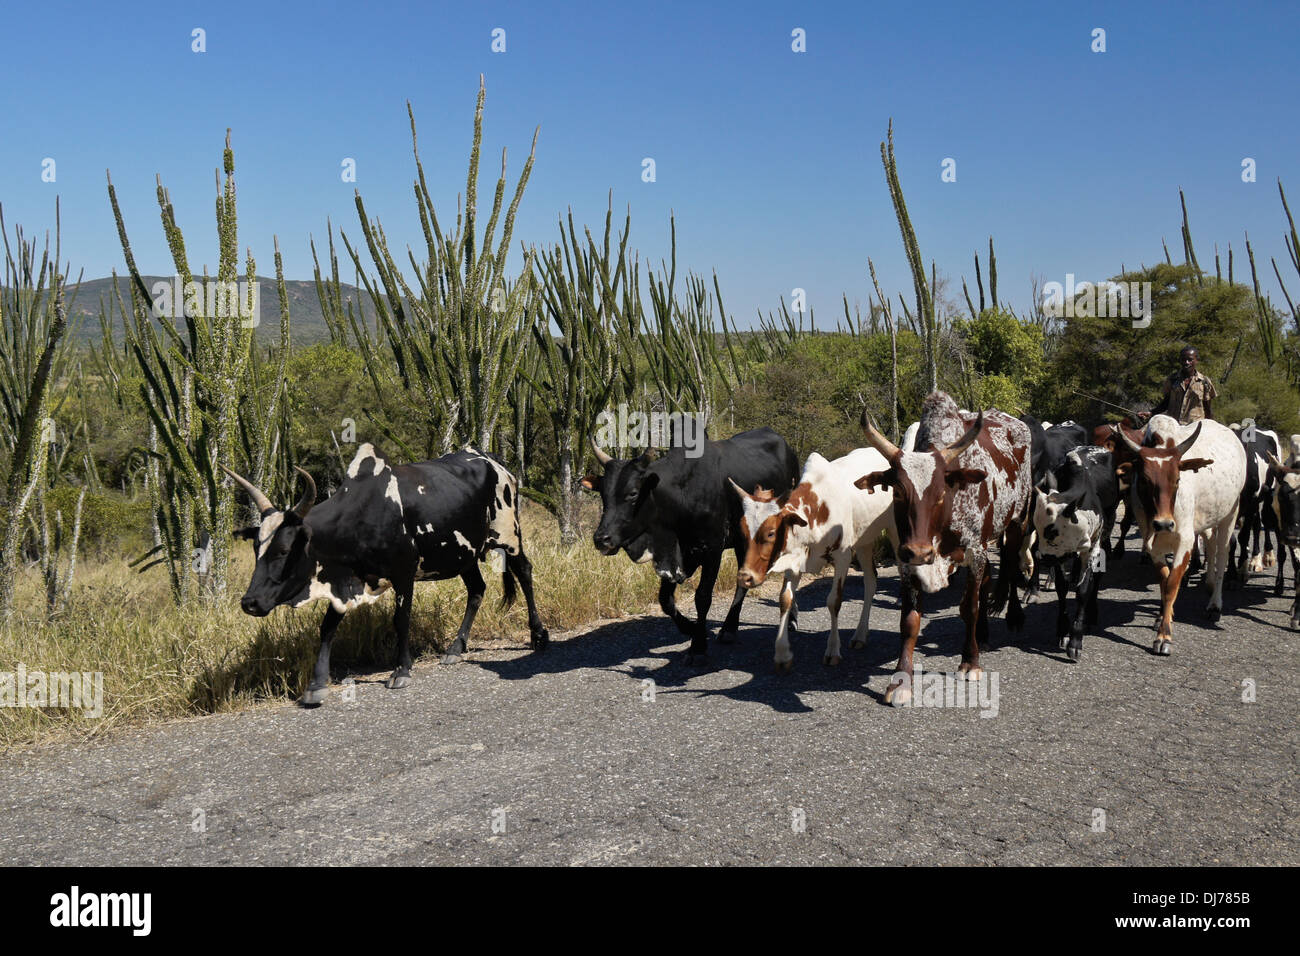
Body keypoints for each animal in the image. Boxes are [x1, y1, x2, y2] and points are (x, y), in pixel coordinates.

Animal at [226, 444, 546, 707]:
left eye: (283, 550)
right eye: (256, 548)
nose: (250, 602)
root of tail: (492, 459)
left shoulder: (404, 573)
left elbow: (400, 619)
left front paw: (401, 670)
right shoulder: (345, 583)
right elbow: (327, 627)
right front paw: (316, 684)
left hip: (509, 536)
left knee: (524, 573)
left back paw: (538, 635)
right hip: (464, 554)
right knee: (477, 589)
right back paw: (456, 647)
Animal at [728, 447, 899, 671]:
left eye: (771, 533)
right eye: (742, 529)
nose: (745, 577)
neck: (818, 510)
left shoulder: (842, 558)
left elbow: (834, 601)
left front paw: (833, 650)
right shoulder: (793, 561)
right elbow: (785, 600)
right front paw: (782, 653)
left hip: (896, 533)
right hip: (865, 541)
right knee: (871, 581)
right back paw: (861, 635)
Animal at [857, 392, 1029, 707]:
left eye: (940, 494)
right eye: (898, 492)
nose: (920, 551)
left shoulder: (975, 552)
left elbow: (970, 608)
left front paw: (970, 662)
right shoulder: (906, 561)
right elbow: (910, 621)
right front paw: (901, 680)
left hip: (1016, 521)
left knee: (1009, 569)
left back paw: (1013, 615)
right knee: (989, 580)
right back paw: (983, 634)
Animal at [1112, 416, 1242, 655]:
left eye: (1177, 480)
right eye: (1143, 480)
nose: (1163, 523)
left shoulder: (1185, 541)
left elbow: (1173, 583)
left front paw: (1164, 636)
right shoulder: (1152, 544)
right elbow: (1164, 581)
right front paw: (1164, 616)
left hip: (1230, 513)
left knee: (1222, 554)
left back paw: (1215, 604)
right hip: (1206, 518)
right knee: (1210, 544)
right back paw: (1208, 583)